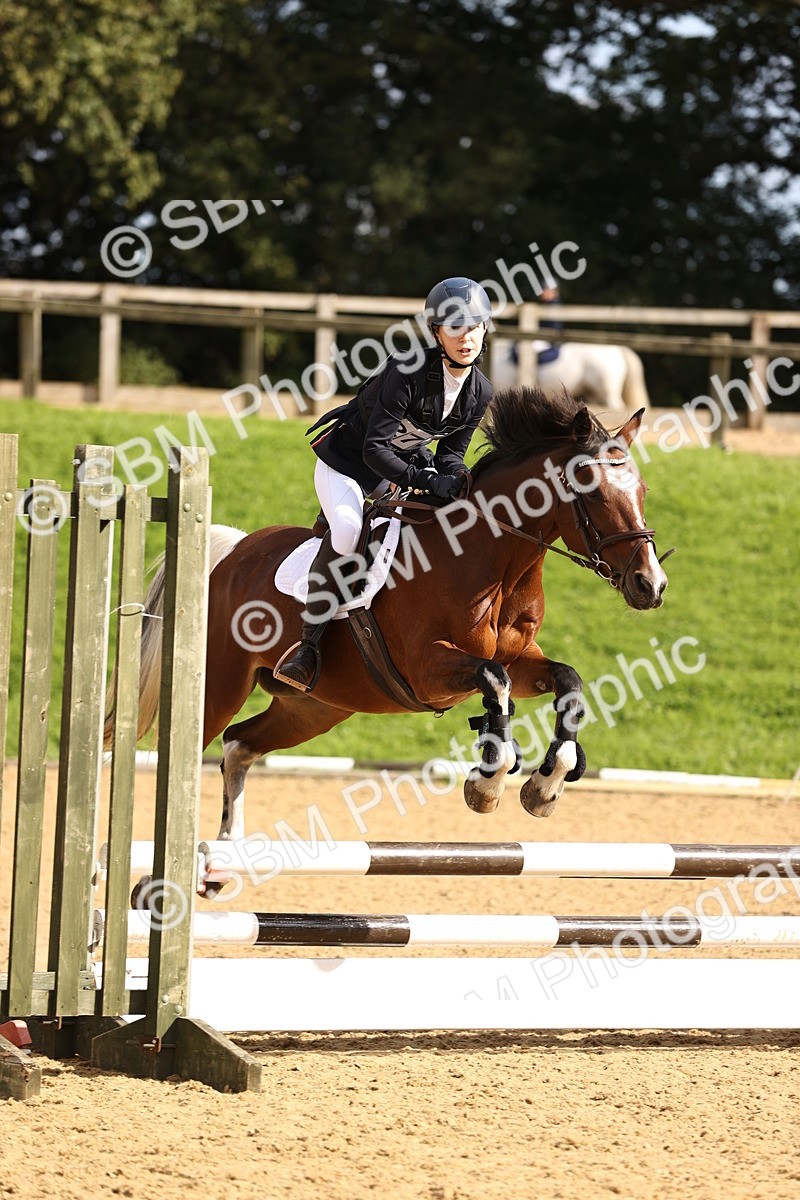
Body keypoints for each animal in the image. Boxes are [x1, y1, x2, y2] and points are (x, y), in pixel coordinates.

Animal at [107, 387, 670, 842]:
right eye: (592, 491)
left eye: (643, 491)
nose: (652, 585)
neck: (493, 561)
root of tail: (230, 555)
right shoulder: (428, 669)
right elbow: (495, 680)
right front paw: (488, 784)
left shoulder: (524, 658)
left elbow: (565, 681)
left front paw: (546, 786)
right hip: (218, 688)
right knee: (181, 758)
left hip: (315, 706)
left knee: (240, 744)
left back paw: (219, 867)